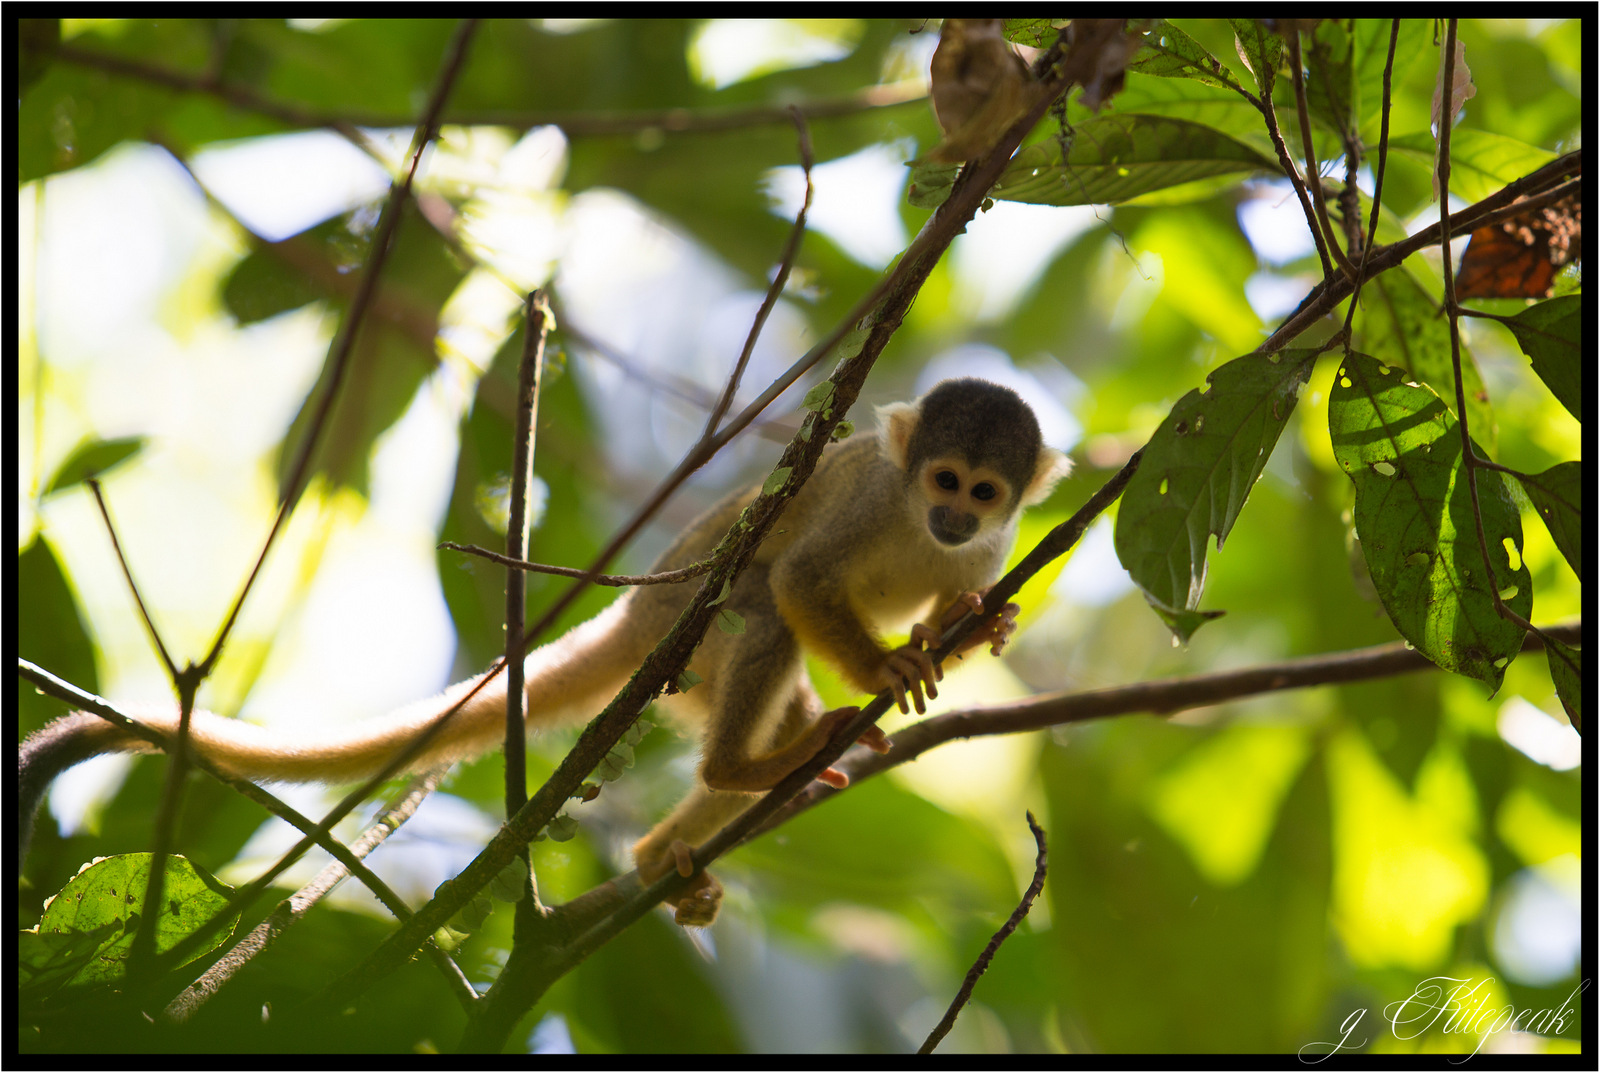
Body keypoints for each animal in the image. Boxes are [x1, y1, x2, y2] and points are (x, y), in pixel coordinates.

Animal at [18, 382, 1068, 927]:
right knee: (762, 601)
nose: (952, 515)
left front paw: (964, 623)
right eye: (941, 478)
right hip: (686, 624)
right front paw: (889, 667)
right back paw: (747, 764)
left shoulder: (992, 543)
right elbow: (805, 579)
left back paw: (699, 823)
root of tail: (637, 621)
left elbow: (954, 594)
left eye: (983, 493)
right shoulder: (868, 498)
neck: (918, 525)